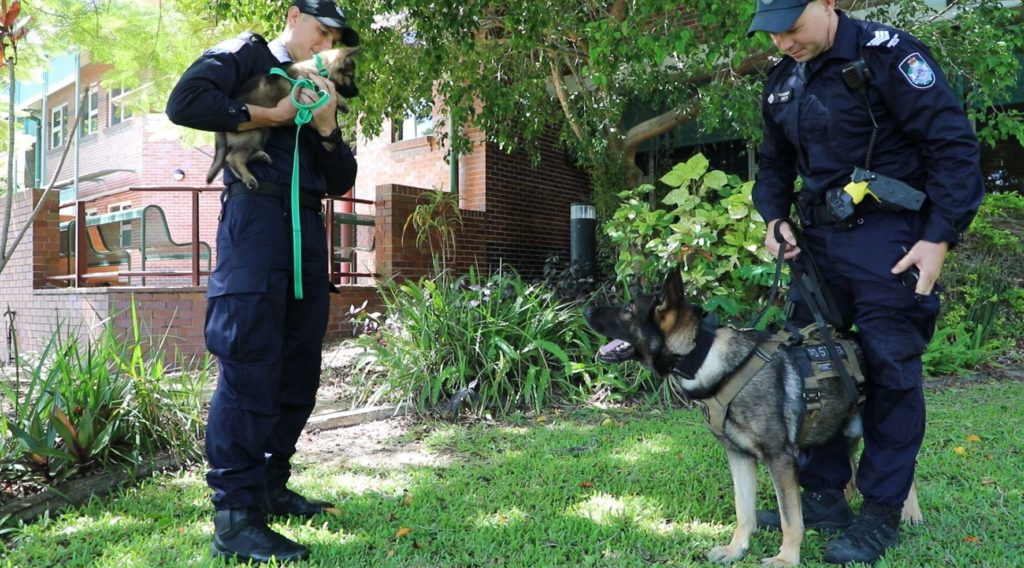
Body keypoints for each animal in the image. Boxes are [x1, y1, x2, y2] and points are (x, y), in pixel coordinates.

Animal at [203, 46, 360, 189]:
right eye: (351, 76)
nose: (357, 93)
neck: (316, 67)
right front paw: (342, 103)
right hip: (251, 134)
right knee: (233, 158)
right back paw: (249, 178)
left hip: (262, 132)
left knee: (246, 155)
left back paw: (261, 157)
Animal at [581, 270, 925, 564]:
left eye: (627, 309)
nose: (585, 309)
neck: (705, 356)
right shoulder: (739, 457)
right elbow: (744, 511)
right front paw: (736, 550)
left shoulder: (780, 459)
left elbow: (791, 521)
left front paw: (786, 559)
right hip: (843, 429)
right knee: (850, 468)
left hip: (873, 425)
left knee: (902, 467)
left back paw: (909, 513)